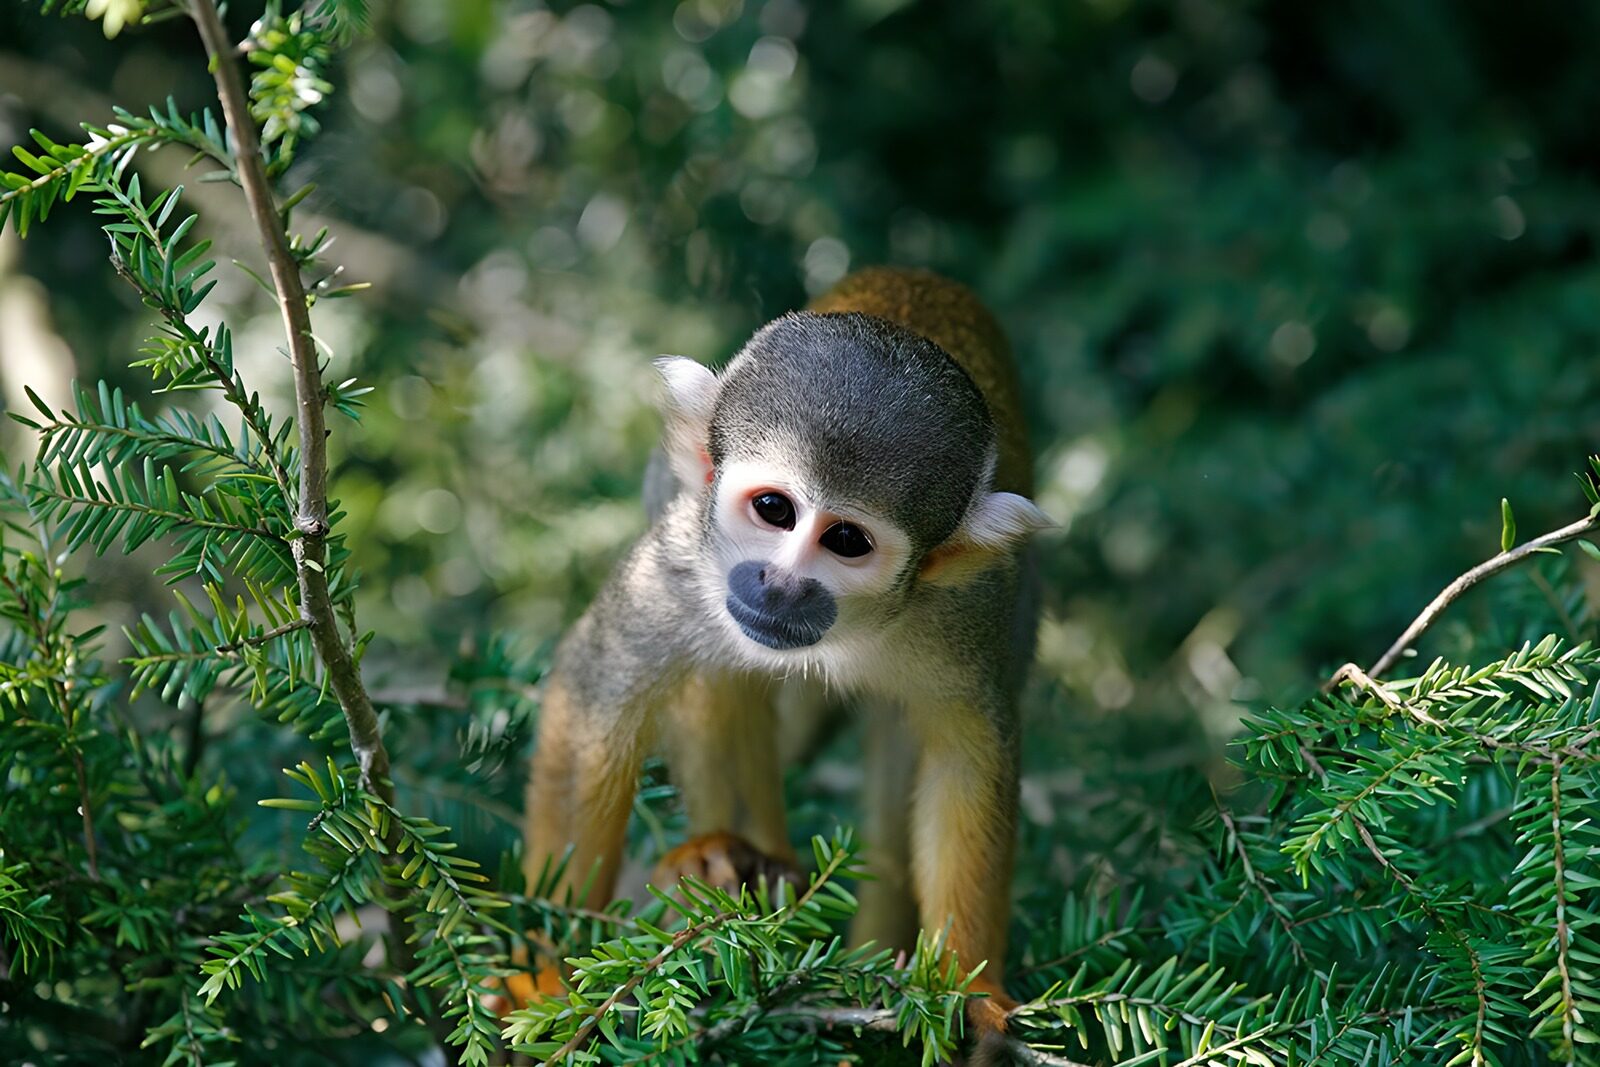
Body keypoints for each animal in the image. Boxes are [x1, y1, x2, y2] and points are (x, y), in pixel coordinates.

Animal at [518, 266, 1049, 1043]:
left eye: (847, 540)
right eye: (774, 509)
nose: (781, 583)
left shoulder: (967, 609)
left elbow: (966, 757)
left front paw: (968, 988)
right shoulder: (685, 556)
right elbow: (597, 691)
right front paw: (544, 969)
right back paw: (730, 860)